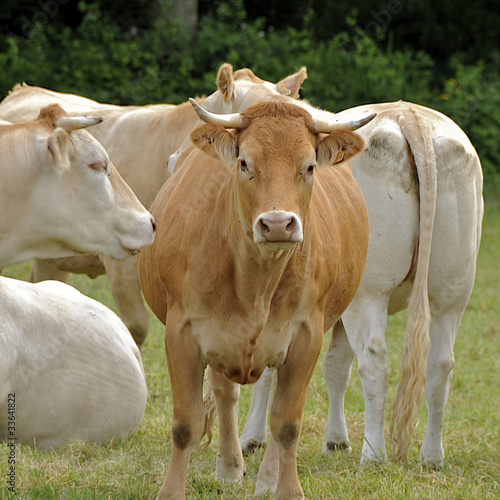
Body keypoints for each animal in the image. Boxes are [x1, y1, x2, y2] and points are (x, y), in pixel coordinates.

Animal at [139, 99, 374, 498]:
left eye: (309, 166)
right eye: (244, 163)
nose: (278, 223)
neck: (255, 283)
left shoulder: (306, 336)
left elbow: (287, 424)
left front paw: (287, 490)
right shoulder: (182, 333)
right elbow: (186, 424)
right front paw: (172, 491)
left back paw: (266, 479)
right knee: (225, 395)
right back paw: (230, 467)